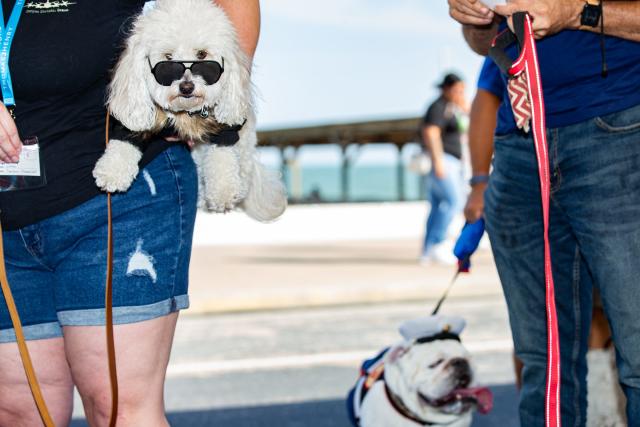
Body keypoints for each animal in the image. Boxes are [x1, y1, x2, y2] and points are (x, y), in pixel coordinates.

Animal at [92, 0, 288, 222]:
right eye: (168, 58)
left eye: (202, 55)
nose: (186, 87)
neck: (185, 114)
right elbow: (125, 139)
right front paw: (112, 170)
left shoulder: (226, 130)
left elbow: (222, 155)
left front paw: (222, 191)